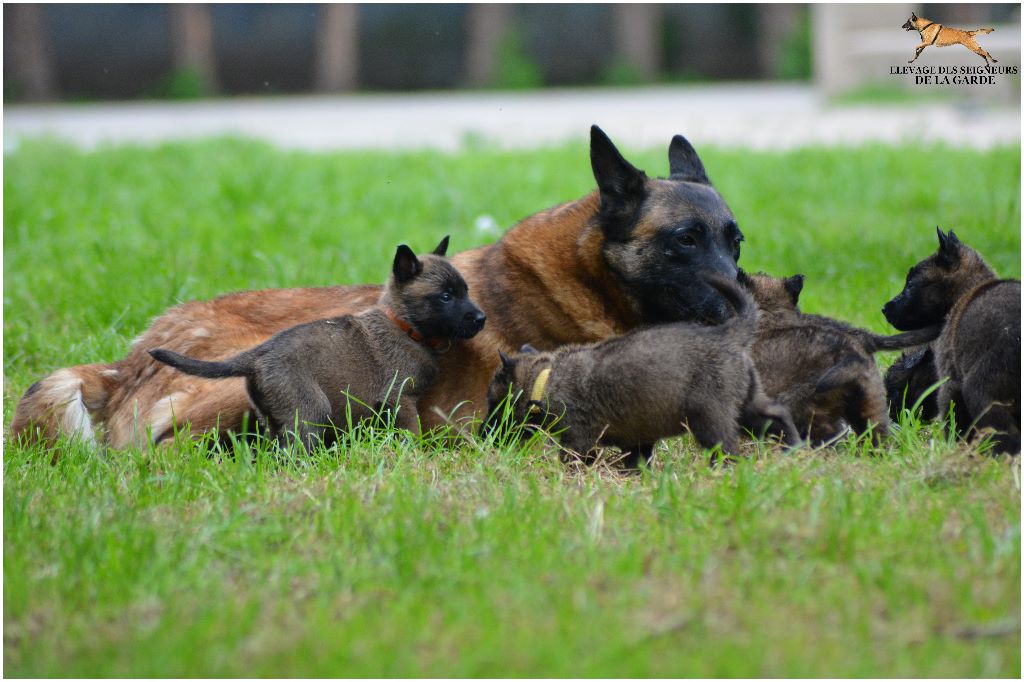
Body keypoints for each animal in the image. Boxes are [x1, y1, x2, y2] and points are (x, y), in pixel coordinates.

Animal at [149, 238, 485, 450]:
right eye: (445, 296)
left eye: (466, 290)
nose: (481, 318)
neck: (403, 326)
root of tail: (257, 357)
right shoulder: (400, 399)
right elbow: (412, 432)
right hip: (310, 410)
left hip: (276, 419)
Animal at [481, 272, 798, 466]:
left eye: (494, 404)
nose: (484, 437)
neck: (545, 378)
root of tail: (728, 334)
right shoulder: (637, 440)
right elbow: (636, 462)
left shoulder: (578, 437)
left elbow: (573, 459)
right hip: (747, 403)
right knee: (777, 414)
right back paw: (794, 449)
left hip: (710, 415)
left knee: (728, 448)